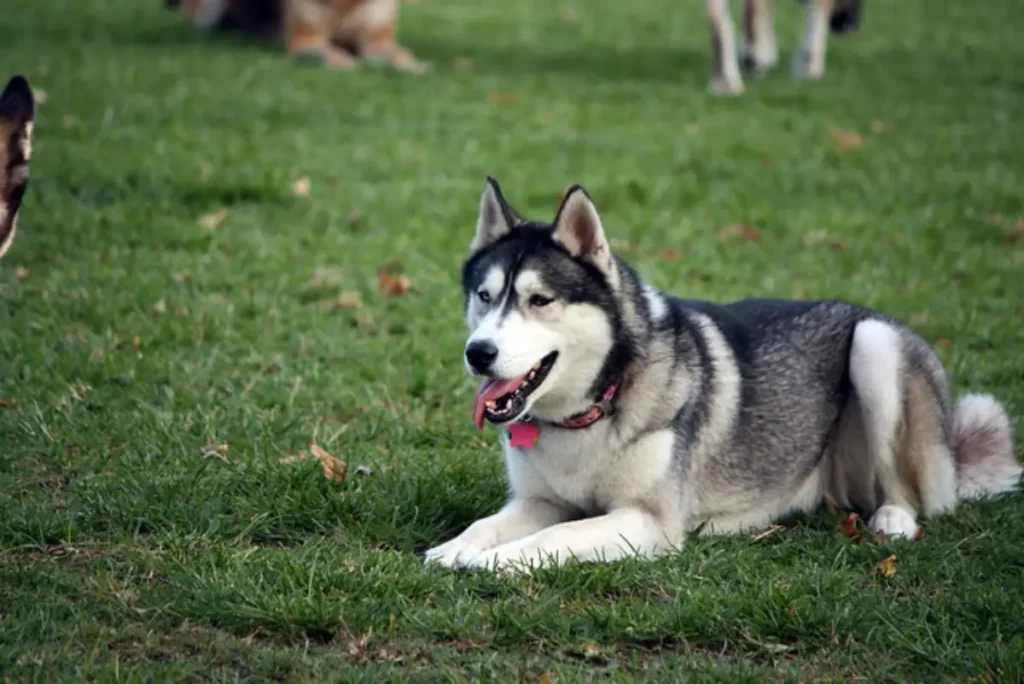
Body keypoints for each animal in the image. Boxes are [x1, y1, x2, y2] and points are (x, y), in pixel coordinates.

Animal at [166, 0, 423, 73]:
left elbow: (400, 55)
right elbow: (325, 52)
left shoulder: (378, 40)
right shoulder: (305, 40)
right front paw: (343, 62)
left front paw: (413, 67)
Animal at [421, 179, 1015, 573]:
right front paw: (457, 547)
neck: (595, 408)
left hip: (876, 344)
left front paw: (493, 560)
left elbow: (559, 536)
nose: (478, 353)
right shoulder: (542, 501)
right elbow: (490, 523)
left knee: (907, 489)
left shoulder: (649, 521)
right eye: (484, 296)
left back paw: (894, 520)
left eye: (539, 300)